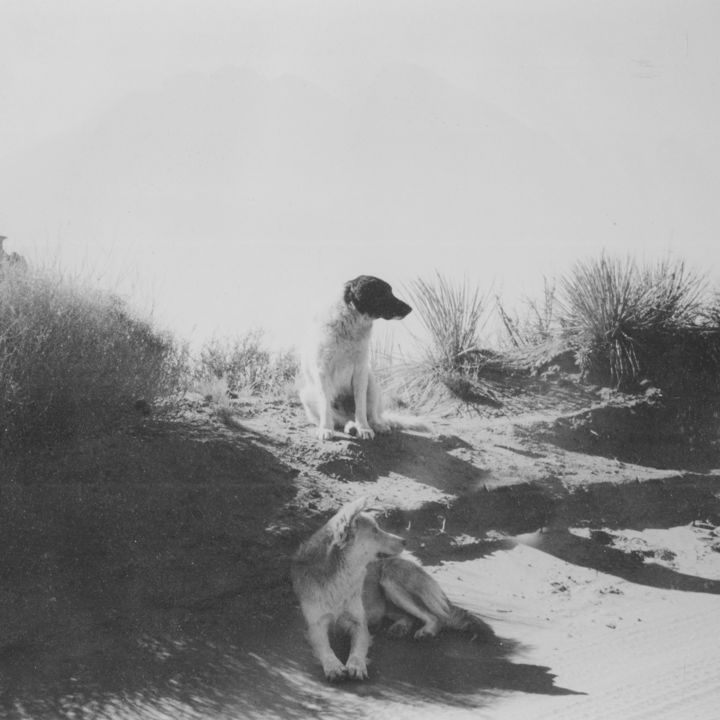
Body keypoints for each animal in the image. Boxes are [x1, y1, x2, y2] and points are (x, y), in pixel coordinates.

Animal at [292, 498, 490, 684]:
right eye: (375, 531)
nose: (405, 541)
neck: (341, 577)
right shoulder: (316, 626)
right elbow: (326, 649)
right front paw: (333, 666)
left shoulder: (359, 624)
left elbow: (356, 650)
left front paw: (356, 666)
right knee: (410, 616)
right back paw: (400, 627)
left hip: (390, 580)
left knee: (436, 617)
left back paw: (426, 631)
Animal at [296, 276, 422, 442]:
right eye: (385, 292)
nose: (410, 309)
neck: (349, 325)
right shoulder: (322, 372)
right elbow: (325, 406)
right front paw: (325, 429)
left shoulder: (360, 372)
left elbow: (361, 407)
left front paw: (364, 429)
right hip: (307, 394)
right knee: (340, 419)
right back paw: (349, 426)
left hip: (372, 382)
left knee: (371, 415)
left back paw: (375, 426)